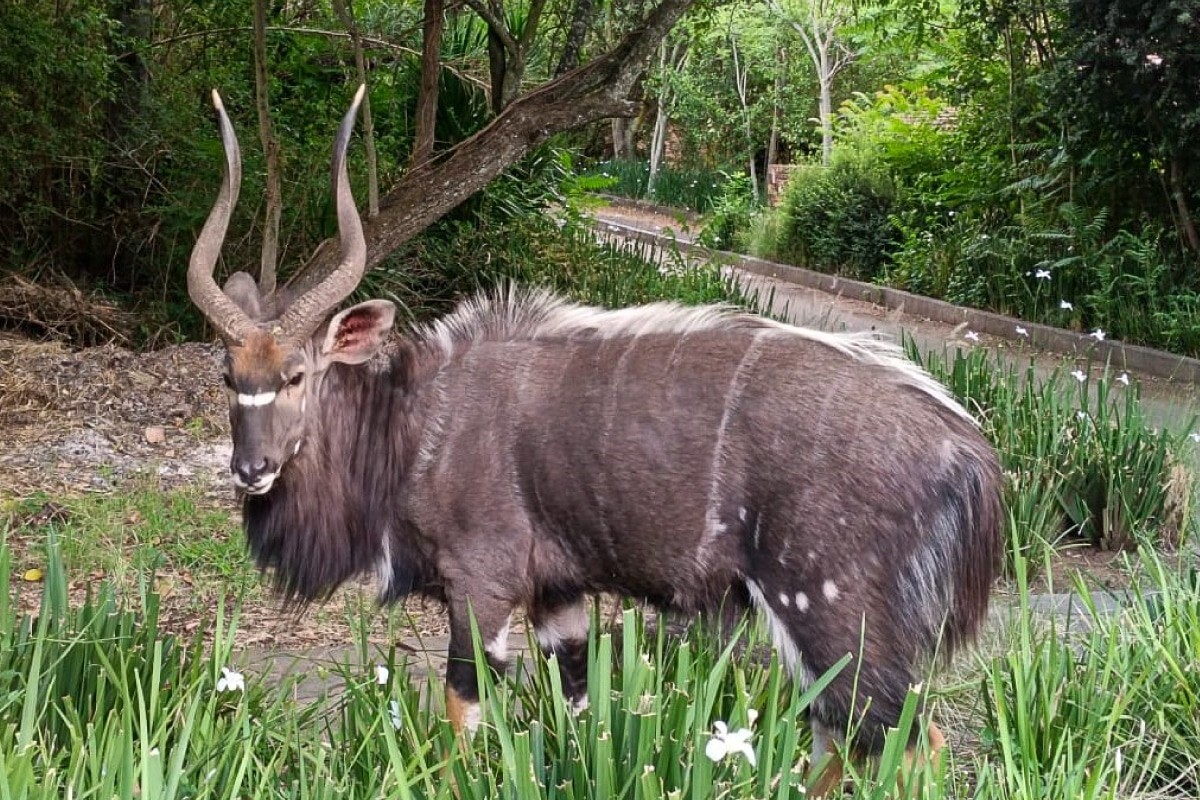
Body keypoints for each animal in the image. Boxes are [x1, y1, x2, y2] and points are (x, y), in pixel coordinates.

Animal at [188, 86, 1003, 794]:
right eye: (229, 376)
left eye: (297, 375)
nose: (251, 469)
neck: (412, 424)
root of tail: (966, 451)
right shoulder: (559, 593)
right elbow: (581, 709)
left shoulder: (482, 584)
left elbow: (461, 715)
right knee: (846, 736)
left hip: (831, 611)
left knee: (908, 739)